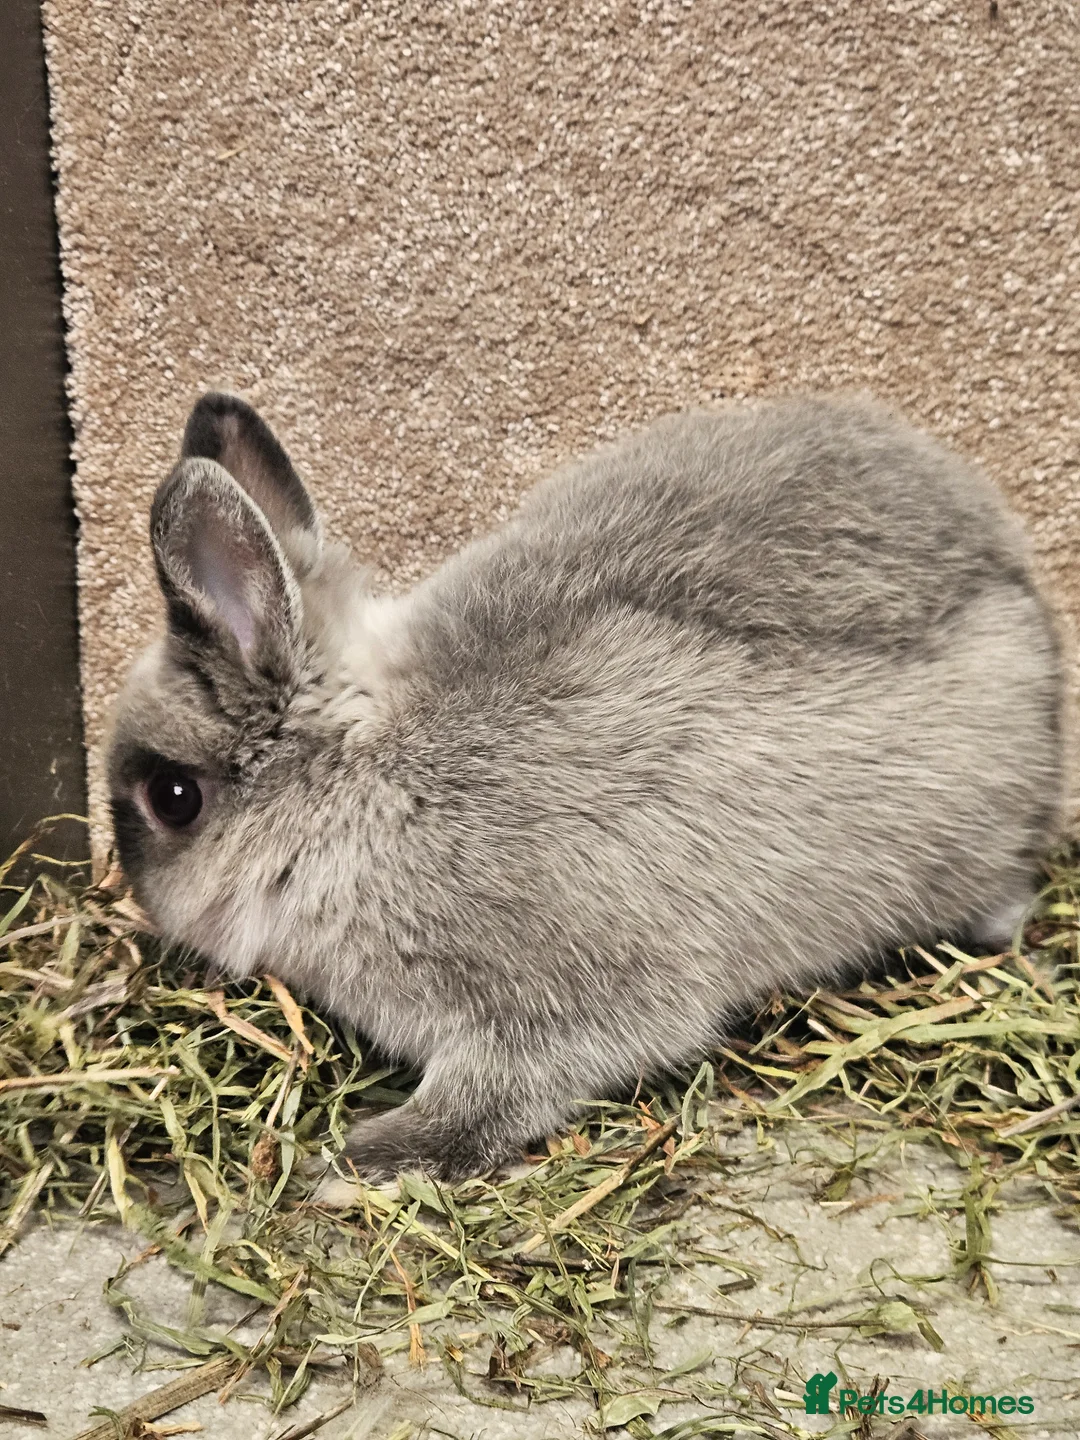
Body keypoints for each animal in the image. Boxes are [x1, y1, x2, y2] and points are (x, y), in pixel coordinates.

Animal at [107, 390, 1065, 1189]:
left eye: (173, 799)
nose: (144, 905)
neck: (365, 787)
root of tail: (1028, 608)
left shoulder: (550, 1000)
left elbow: (499, 1092)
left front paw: (364, 1159)